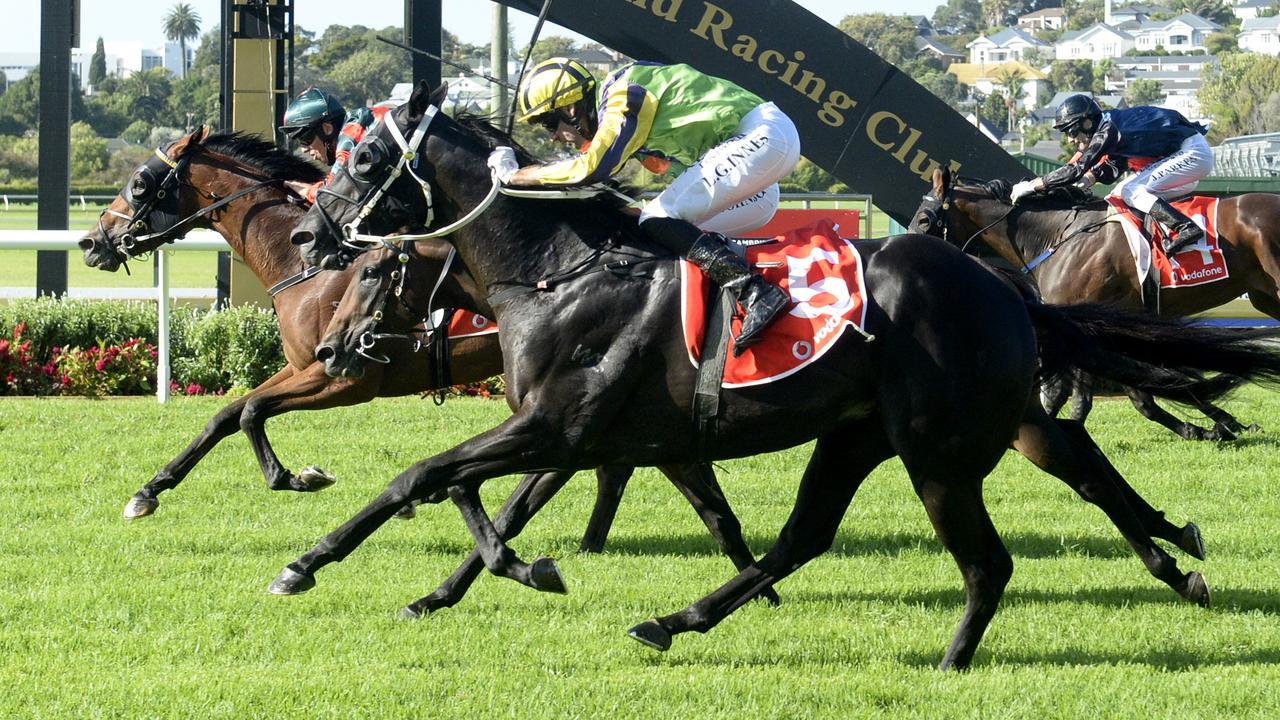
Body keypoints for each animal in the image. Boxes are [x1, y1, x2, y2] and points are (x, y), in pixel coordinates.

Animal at [77, 126, 778, 597]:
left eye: (140, 183)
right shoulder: (314, 362)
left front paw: (298, 479)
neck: (307, 266)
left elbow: (247, 412)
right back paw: (584, 538)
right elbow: (228, 414)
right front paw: (149, 492)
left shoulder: (342, 375)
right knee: (611, 459)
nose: (91, 241)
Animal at [911, 167, 1280, 440]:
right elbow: (1140, 392)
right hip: (1264, 296)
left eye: (925, 219)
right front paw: (1212, 426)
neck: (1057, 238)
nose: (910, 253)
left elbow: (1080, 394)